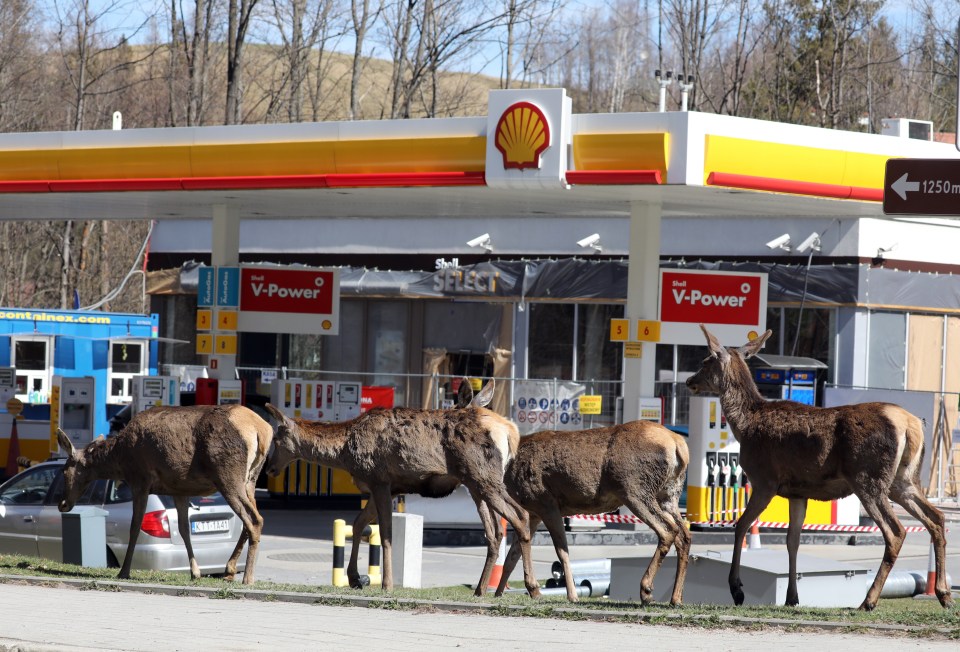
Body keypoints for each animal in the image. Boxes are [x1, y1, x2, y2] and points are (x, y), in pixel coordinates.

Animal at [56, 402, 274, 584]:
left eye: (64, 470)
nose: (63, 503)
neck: (120, 460)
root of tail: (262, 430)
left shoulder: (140, 480)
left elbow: (135, 526)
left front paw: (124, 571)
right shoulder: (179, 489)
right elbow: (184, 529)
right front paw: (195, 572)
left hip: (228, 475)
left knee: (254, 519)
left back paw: (247, 577)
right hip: (250, 479)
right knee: (250, 520)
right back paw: (229, 570)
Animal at [262, 380, 540, 600]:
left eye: (276, 439)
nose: (269, 468)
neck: (345, 452)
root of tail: (511, 431)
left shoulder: (379, 480)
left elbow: (385, 532)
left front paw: (386, 584)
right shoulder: (387, 488)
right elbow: (358, 523)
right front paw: (354, 577)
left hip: (483, 478)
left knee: (520, 516)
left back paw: (532, 587)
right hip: (476, 484)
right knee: (495, 532)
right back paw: (482, 589)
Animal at [488, 420, 688, 604]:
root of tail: (679, 445)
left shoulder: (545, 503)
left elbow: (561, 551)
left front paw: (571, 595)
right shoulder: (533, 513)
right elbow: (513, 556)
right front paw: (496, 593)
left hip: (635, 490)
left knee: (668, 530)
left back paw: (646, 591)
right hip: (669, 495)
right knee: (684, 536)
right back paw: (675, 599)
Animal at [688, 324, 948, 612]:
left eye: (705, 361)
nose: (689, 381)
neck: (744, 426)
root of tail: (911, 425)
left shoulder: (764, 480)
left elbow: (741, 524)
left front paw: (737, 589)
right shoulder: (797, 492)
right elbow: (792, 540)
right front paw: (792, 597)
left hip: (867, 478)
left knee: (896, 532)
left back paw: (868, 600)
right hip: (903, 480)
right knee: (937, 518)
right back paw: (943, 593)